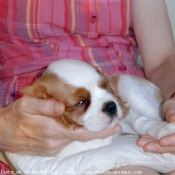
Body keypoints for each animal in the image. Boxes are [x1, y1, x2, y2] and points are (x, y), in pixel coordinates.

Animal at [21, 58, 174, 159]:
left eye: (105, 87)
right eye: (81, 102)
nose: (111, 106)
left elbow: (139, 121)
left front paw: (163, 129)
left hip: (131, 90)